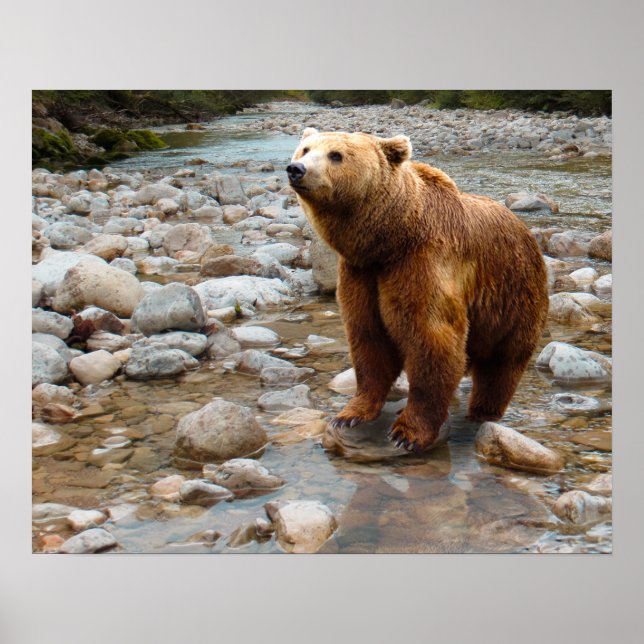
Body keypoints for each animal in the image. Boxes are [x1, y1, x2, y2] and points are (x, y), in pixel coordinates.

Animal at [287, 128, 549, 452]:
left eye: (336, 155)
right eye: (305, 149)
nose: (296, 169)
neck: (390, 239)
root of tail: (527, 231)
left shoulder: (422, 263)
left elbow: (431, 340)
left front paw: (407, 432)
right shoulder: (361, 274)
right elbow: (368, 339)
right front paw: (349, 414)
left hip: (513, 296)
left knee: (502, 364)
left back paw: (482, 411)